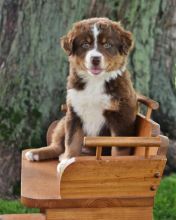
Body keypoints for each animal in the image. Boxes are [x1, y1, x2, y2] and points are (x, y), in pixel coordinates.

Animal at [25, 17, 138, 172]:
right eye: (85, 44)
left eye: (107, 44)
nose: (95, 59)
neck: (95, 82)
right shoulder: (74, 112)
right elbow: (71, 141)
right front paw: (67, 162)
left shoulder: (121, 117)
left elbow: (119, 149)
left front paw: (119, 165)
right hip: (63, 121)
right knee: (57, 145)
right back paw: (37, 153)